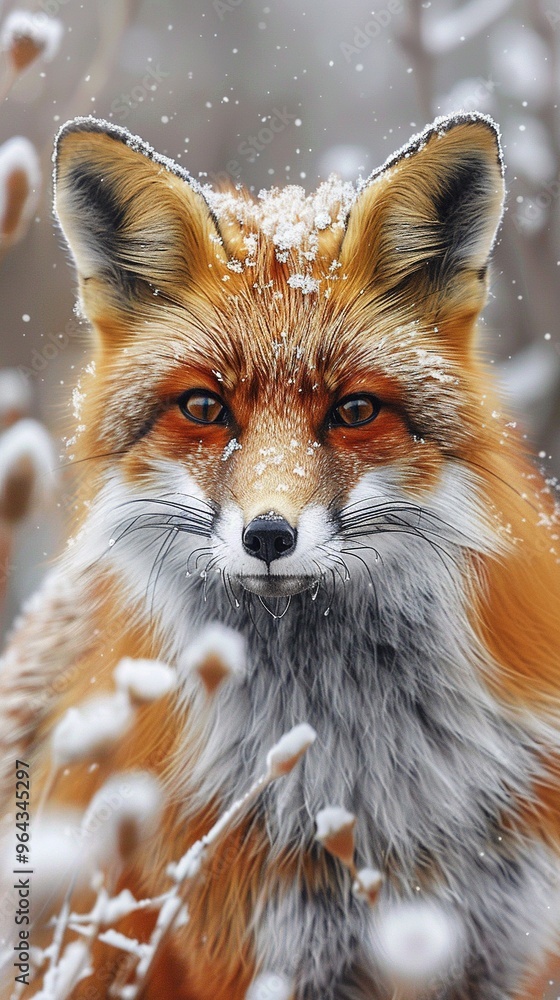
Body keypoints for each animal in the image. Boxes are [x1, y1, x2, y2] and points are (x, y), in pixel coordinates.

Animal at [1, 111, 560, 1000]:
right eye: (204, 406)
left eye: (354, 410)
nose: (268, 536)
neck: (372, 778)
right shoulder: (260, 955)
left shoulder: (507, 947)